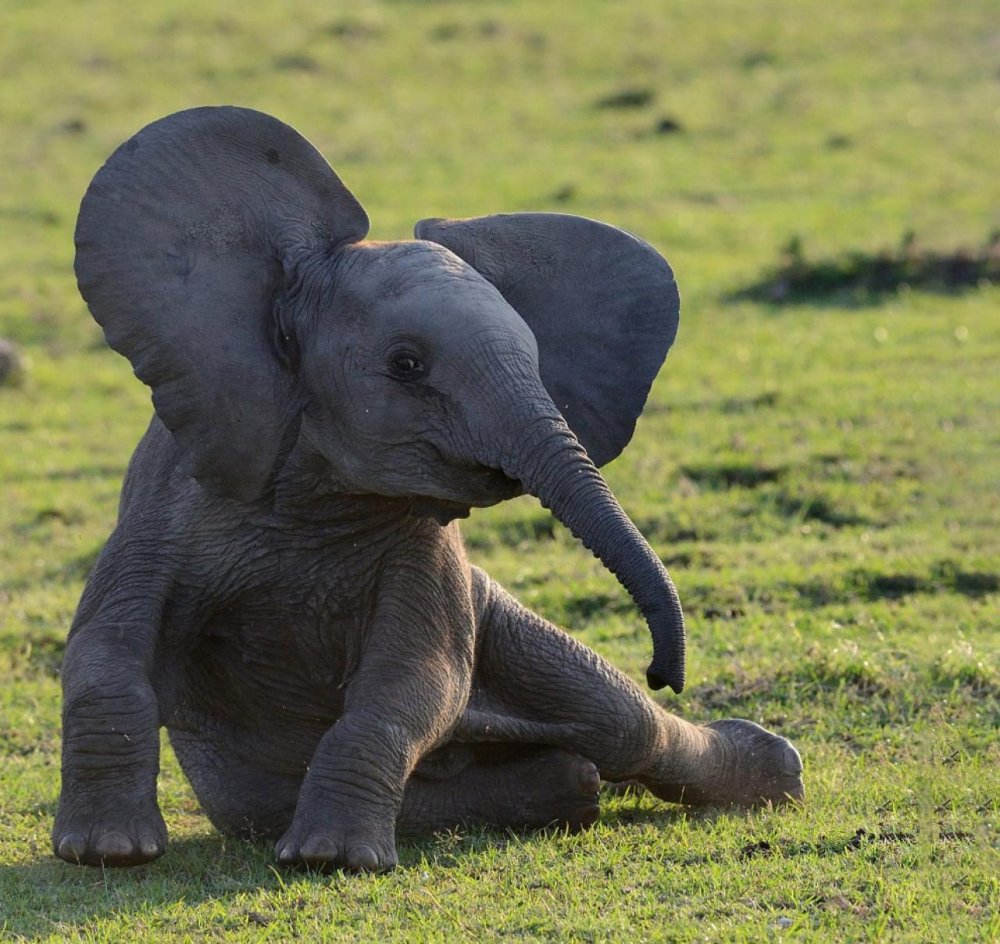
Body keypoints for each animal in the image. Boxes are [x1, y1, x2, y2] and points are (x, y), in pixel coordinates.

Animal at [54, 105, 804, 872]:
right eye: (407, 365)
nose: (663, 670)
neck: (314, 490)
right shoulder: (166, 507)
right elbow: (105, 653)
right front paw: (108, 852)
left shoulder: (425, 547)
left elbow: (413, 680)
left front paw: (331, 861)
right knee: (566, 767)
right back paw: (571, 782)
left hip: (500, 618)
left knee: (622, 723)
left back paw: (774, 774)